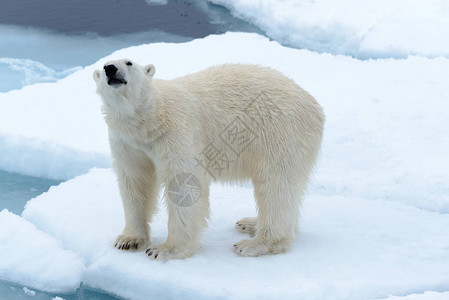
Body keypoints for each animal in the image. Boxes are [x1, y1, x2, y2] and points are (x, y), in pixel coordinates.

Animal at [93, 59, 324, 260]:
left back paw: (255, 243)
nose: (111, 68)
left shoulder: (176, 132)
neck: (151, 118)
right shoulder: (127, 142)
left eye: (129, 62)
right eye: (103, 66)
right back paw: (250, 224)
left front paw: (164, 249)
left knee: (275, 185)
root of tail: (314, 104)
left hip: (279, 132)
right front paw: (129, 240)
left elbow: (184, 184)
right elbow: (135, 182)